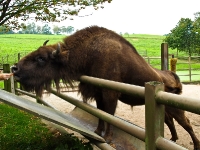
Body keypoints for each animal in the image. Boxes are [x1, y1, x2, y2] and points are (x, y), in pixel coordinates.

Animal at [11, 26, 200, 150]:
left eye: (41, 58)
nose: (14, 69)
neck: (89, 53)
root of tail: (171, 76)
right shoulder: (98, 94)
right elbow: (100, 113)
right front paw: (97, 131)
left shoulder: (110, 94)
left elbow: (109, 115)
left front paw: (107, 137)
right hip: (165, 109)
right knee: (170, 122)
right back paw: (173, 139)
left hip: (175, 108)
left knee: (187, 123)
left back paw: (195, 144)